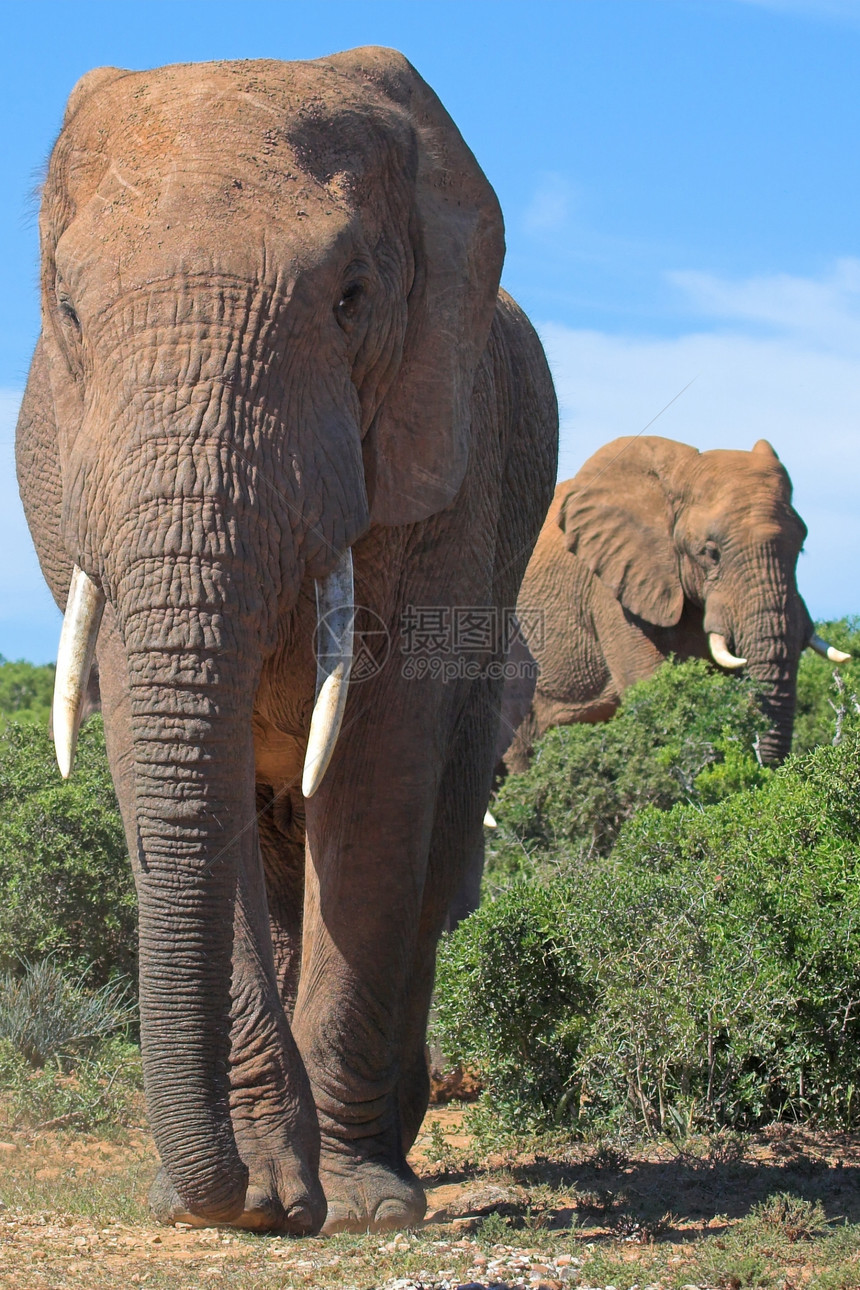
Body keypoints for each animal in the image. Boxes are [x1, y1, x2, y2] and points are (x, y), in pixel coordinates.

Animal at [18, 50, 564, 1233]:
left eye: (351, 299)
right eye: (68, 311)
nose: (222, 1198)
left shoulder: (451, 455)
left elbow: (378, 768)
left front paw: (357, 1208)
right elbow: (157, 761)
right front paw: (260, 1200)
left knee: (432, 851)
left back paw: (389, 1141)